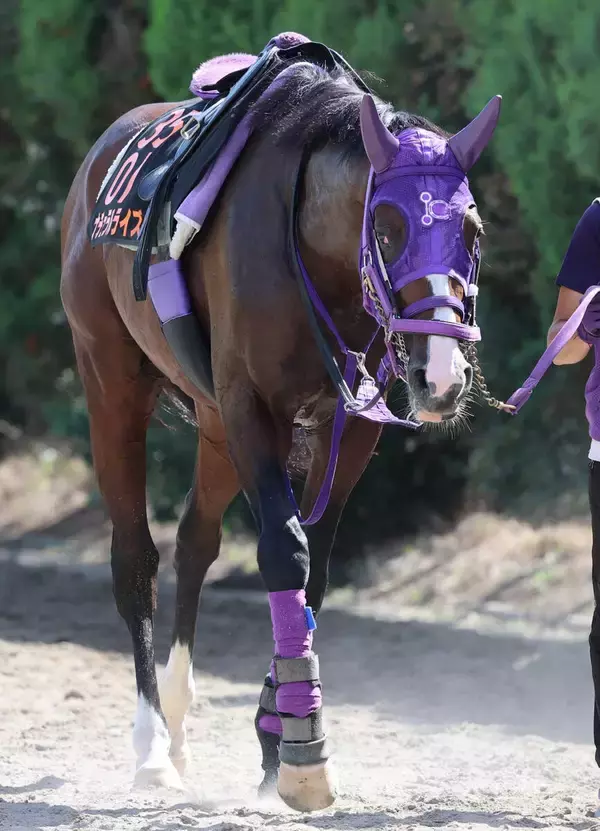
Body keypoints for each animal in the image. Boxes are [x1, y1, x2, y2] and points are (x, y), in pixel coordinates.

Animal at [60, 34, 500, 812]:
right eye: (389, 228)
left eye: (471, 231)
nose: (443, 376)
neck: (312, 249)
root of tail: (100, 157)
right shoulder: (250, 407)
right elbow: (282, 552)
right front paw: (301, 753)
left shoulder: (348, 428)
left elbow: (313, 568)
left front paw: (275, 737)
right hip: (111, 382)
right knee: (135, 557)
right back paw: (152, 747)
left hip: (212, 424)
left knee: (196, 541)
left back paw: (179, 724)